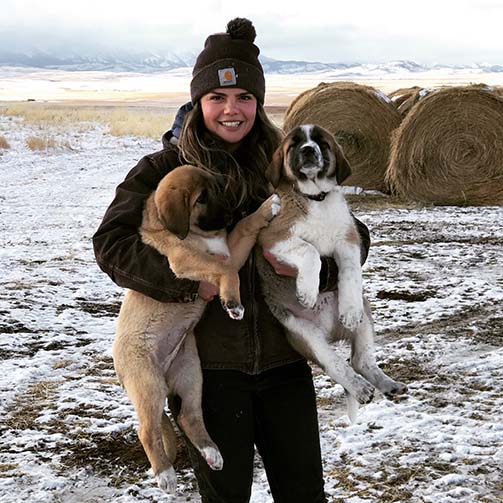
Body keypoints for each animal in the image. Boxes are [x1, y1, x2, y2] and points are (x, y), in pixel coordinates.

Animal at [113, 165, 284, 492]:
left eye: (218, 186)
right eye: (202, 199)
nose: (231, 211)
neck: (196, 234)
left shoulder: (231, 251)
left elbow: (244, 230)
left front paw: (265, 209)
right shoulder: (186, 262)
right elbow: (226, 271)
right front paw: (232, 303)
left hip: (191, 372)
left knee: (188, 415)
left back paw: (212, 452)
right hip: (148, 382)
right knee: (147, 429)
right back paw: (165, 474)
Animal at [258, 126, 408, 422]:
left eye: (321, 142)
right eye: (294, 144)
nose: (308, 150)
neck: (317, 199)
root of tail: (328, 330)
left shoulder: (348, 240)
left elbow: (350, 270)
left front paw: (347, 309)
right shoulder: (272, 238)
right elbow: (311, 252)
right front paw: (307, 291)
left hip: (365, 314)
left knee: (361, 360)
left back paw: (387, 384)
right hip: (304, 334)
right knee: (335, 364)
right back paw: (360, 389)